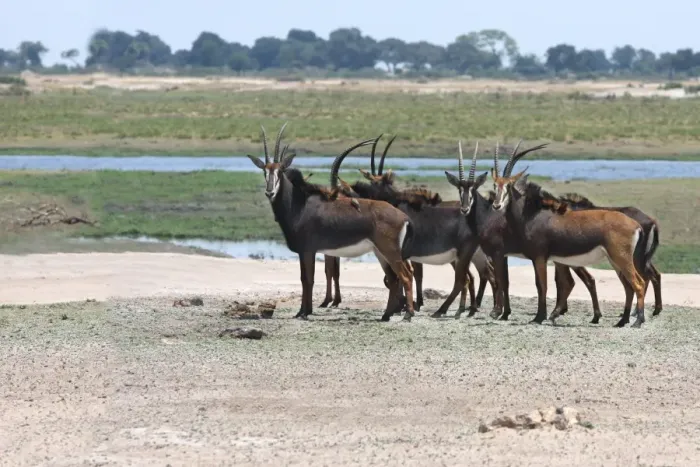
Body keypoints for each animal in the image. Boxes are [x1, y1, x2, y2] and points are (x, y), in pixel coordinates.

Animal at [247, 123, 416, 321]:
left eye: (280, 171)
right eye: (265, 171)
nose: (269, 192)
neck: (299, 204)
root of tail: (403, 217)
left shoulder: (308, 251)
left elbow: (308, 279)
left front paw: (305, 312)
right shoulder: (305, 252)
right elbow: (305, 279)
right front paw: (302, 311)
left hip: (390, 251)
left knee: (405, 276)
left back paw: (408, 314)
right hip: (380, 252)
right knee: (394, 278)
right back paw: (386, 315)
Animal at [334, 136, 489, 318]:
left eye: (378, 182)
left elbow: (406, 276)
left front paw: (405, 307)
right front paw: (406, 306)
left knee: (466, 278)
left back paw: (450, 310)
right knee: (471, 277)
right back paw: (466, 309)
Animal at [489, 141, 651, 328]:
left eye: (508, 186)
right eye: (495, 185)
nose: (496, 205)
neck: (532, 214)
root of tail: (636, 225)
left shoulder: (539, 257)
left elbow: (542, 285)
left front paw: (539, 317)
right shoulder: (554, 259)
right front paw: (548, 315)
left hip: (621, 258)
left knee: (638, 283)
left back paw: (637, 321)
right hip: (614, 260)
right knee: (628, 286)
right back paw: (622, 321)